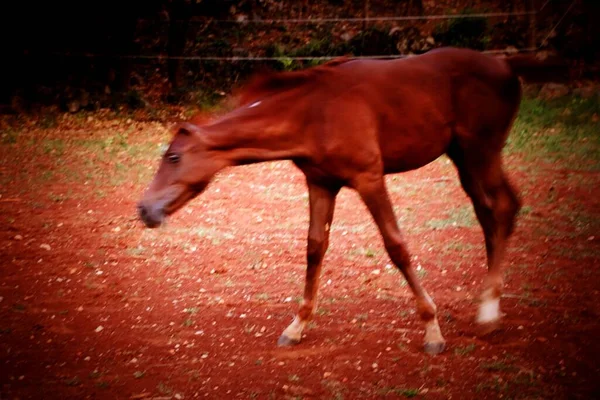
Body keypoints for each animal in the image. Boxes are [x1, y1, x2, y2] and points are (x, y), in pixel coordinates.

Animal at [138, 46, 560, 354]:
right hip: (464, 158)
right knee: (492, 212)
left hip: (480, 152)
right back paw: (489, 308)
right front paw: (296, 327)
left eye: (173, 157)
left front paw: (432, 331)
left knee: (502, 208)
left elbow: (396, 247)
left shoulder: (370, 178)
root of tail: (504, 62)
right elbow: (314, 248)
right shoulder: (321, 183)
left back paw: (488, 314)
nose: (145, 209)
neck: (313, 111)